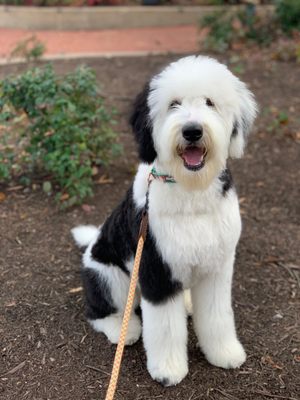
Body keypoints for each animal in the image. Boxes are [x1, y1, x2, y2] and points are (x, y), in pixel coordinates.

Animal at [71, 54, 256, 386]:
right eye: (173, 104)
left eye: (210, 102)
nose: (192, 130)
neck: (191, 190)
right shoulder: (155, 269)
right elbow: (166, 328)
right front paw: (168, 370)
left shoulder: (217, 268)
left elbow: (217, 314)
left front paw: (224, 352)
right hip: (109, 276)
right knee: (98, 310)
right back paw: (123, 329)